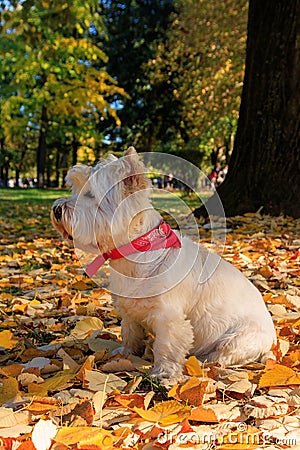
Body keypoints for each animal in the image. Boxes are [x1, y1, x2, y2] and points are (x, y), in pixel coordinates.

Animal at [52, 147, 276, 384]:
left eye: (91, 195)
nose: (56, 209)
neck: (136, 253)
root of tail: (273, 339)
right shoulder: (129, 311)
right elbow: (130, 333)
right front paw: (125, 354)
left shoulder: (169, 318)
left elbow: (166, 347)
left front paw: (164, 373)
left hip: (239, 338)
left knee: (223, 356)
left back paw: (203, 361)